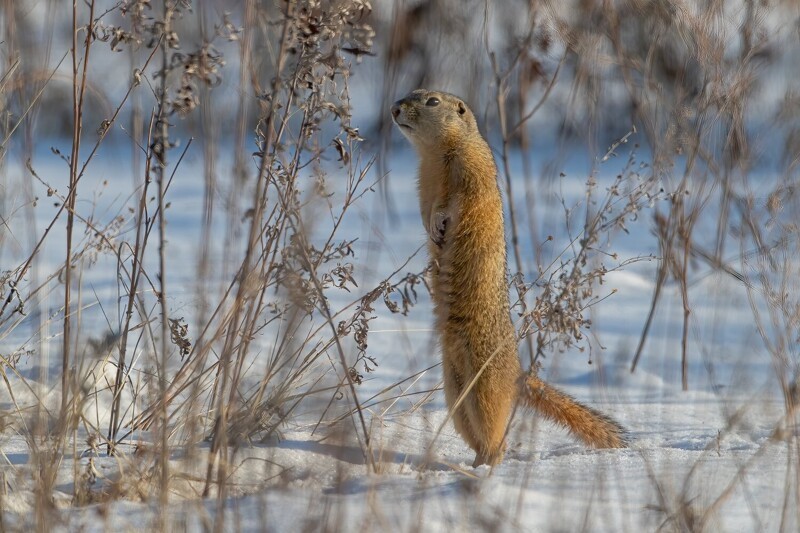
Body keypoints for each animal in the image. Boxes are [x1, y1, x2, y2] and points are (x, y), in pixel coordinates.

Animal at [390, 89, 628, 464]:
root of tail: (516, 373)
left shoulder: (472, 171)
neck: (435, 156)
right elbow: (424, 208)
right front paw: (431, 228)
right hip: (454, 391)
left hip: (484, 386)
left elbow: (460, 201)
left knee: (494, 433)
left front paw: (441, 222)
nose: (395, 109)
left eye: (432, 101)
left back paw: (486, 468)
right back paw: (473, 464)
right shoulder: (422, 183)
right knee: (474, 431)